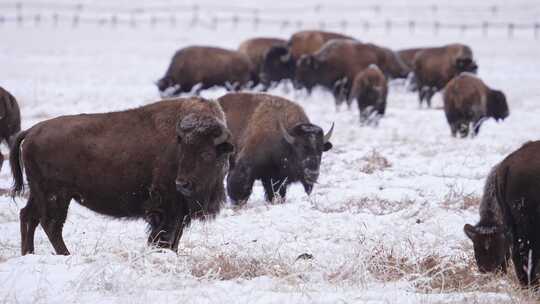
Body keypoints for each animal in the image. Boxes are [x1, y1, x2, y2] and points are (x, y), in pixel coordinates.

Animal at [10, 97, 234, 254]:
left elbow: (173, 240)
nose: (182, 184)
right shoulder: (166, 210)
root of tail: (31, 131)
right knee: (51, 225)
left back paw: (28, 254)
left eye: (206, 153)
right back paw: (65, 255)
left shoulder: (179, 214)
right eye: (183, 151)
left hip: (39, 194)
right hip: (56, 196)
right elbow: (163, 239)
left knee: (28, 216)